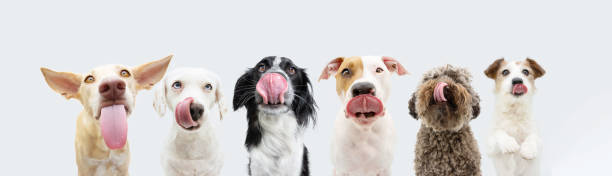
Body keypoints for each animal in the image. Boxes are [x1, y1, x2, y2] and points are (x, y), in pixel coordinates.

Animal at [40, 55, 172, 176]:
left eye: (125, 73)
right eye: (89, 79)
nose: (112, 85)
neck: (105, 142)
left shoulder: (122, 168)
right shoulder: (85, 169)